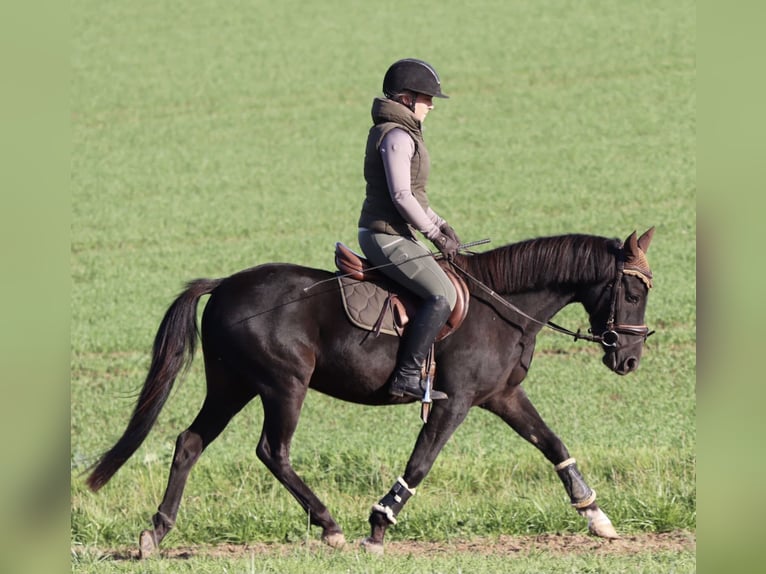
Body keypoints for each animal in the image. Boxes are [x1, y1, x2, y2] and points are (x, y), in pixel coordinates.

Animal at [87, 228, 656, 560]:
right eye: (633, 290)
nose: (629, 360)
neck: (503, 306)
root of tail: (224, 284)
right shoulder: (457, 401)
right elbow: (421, 462)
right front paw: (380, 523)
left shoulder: (503, 396)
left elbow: (554, 446)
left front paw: (597, 517)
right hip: (282, 385)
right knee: (273, 451)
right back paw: (329, 525)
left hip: (233, 386)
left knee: (189, 443)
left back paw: (156, 533)